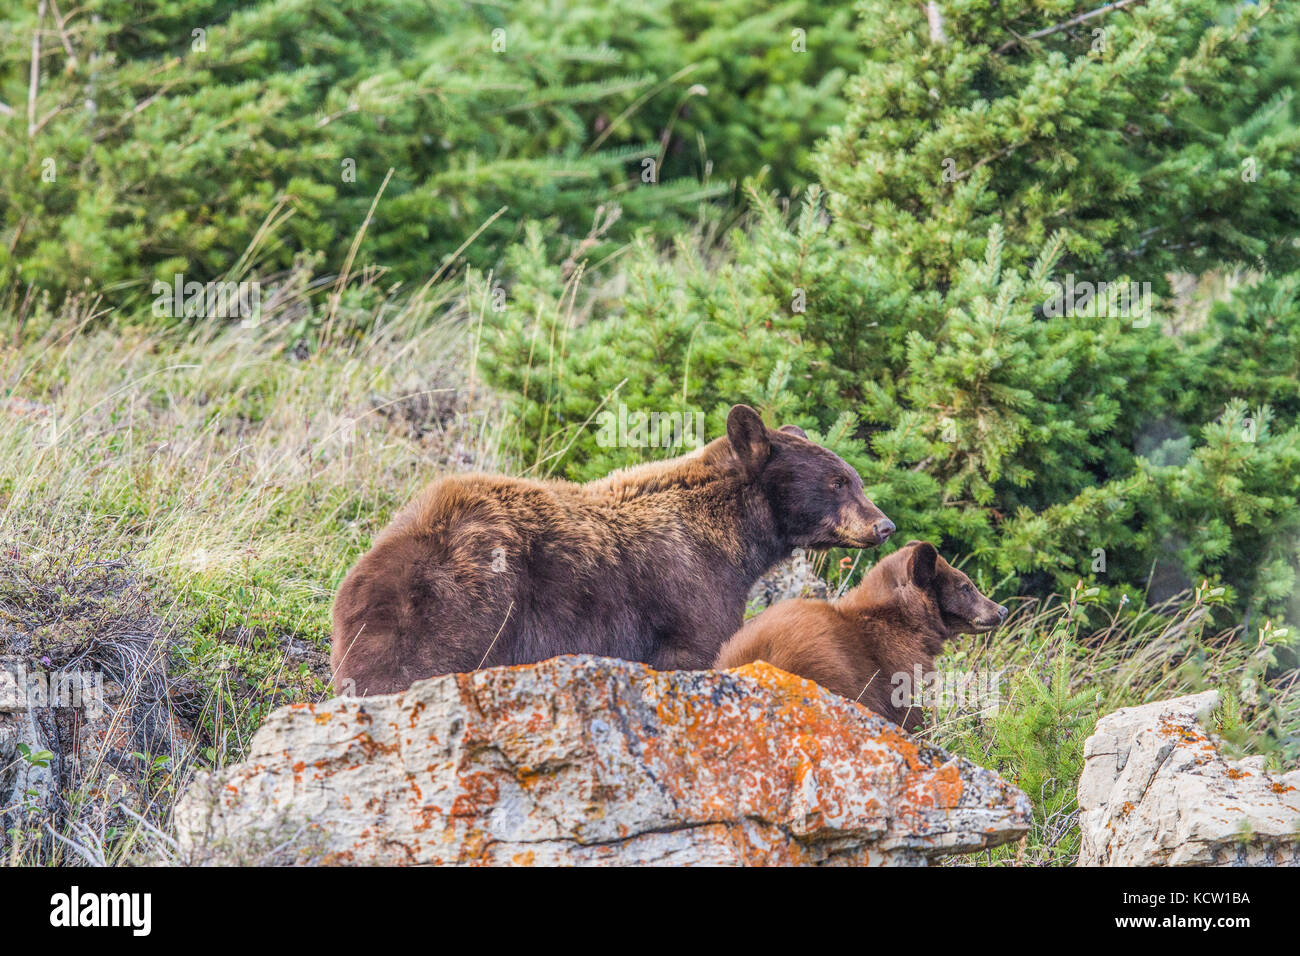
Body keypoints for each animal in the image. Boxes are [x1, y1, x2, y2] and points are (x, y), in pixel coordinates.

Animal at [331, 404, 895, 696]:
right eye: (838, 482)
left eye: (854, 478)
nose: (885, 526)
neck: (731, 537)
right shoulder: (691, 594)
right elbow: (697, 649)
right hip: (464, 613)